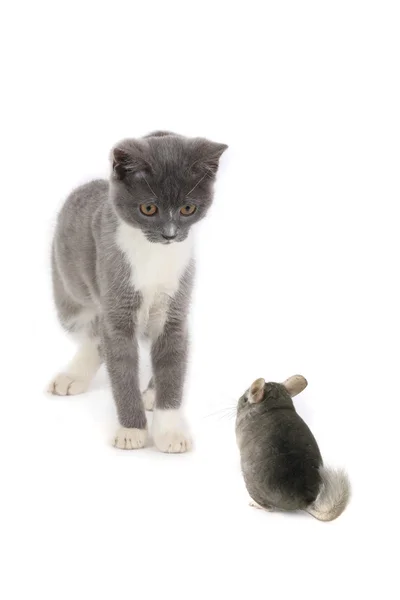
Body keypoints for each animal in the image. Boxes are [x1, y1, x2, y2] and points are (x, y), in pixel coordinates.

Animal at [48, 131, 227, 450]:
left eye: (188, 209)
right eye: (148, 208)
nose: (170, 234)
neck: (154, 257)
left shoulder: (174, 310)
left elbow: (172, 363)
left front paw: (169, 431)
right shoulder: (117, 307)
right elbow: (120, 365)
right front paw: (131, 430)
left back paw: (152, 393)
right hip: (69, 294)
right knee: (93, 335)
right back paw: (74, 375)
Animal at [236, 376, 348, 520]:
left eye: (245, 399)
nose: (239, 401)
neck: (274, 406)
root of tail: (306, 502)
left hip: (250, 484)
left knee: (269, 508)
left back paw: (253, 503)